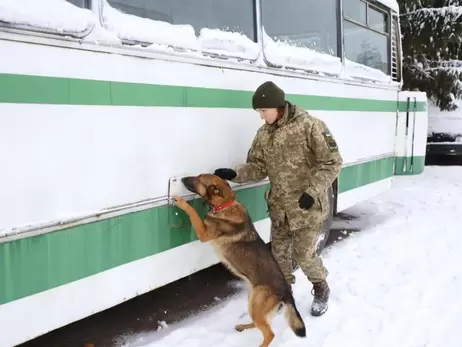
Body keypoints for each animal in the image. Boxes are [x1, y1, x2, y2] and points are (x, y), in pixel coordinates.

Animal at [171, 175, 304, 346]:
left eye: (198, 179)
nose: (182, 178)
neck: (224, 204)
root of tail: (286, 291)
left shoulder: (204, 233)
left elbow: (193, 212)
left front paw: (182, 202)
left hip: (256, 305)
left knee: (269, 333)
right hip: (252, 302)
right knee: (260, 323)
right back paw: (243, 326)